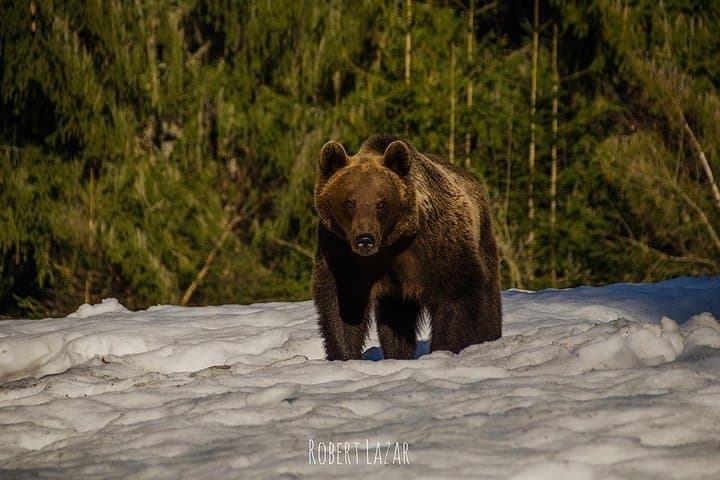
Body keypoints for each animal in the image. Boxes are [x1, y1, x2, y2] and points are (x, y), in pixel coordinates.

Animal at [313, 134, 501, 360]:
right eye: (350, 202)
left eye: (381, 203)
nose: (365, 239)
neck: (391, 243)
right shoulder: (342, 252)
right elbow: (344, 305)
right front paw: (345, 355)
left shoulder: (435, 245)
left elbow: (455, 295)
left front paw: (444, 348)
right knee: (396, 320)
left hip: (481, 241)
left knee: (487, 301)